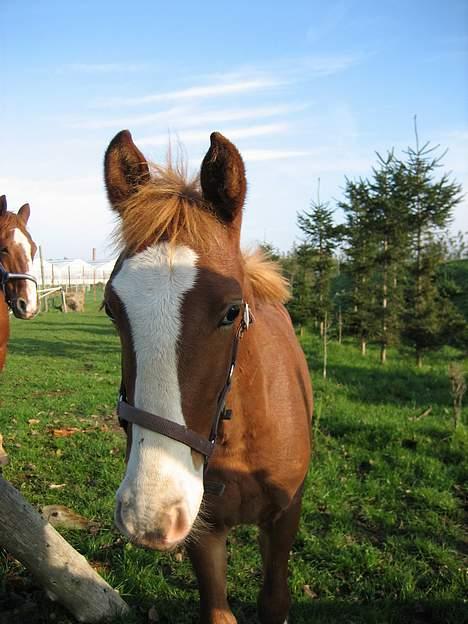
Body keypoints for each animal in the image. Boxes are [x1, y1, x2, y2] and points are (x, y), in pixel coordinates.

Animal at [104, 132, 312, 624]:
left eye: (232, 311)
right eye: (110, 308)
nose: (149, 513)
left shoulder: (285, 515)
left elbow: (275, 600)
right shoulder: (204, 528)